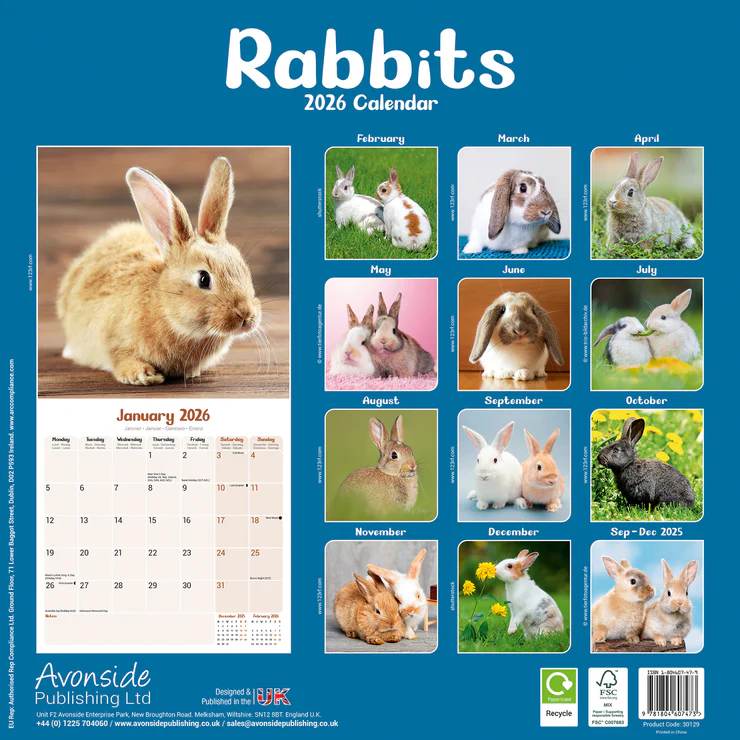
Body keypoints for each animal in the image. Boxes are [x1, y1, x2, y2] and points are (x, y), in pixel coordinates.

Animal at [57, 158, 261, 386]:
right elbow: (121, 357)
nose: (246, 314)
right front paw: (142, 375)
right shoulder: (113, 338)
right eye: (203, 279)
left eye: (243, 269)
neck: (164, 307)